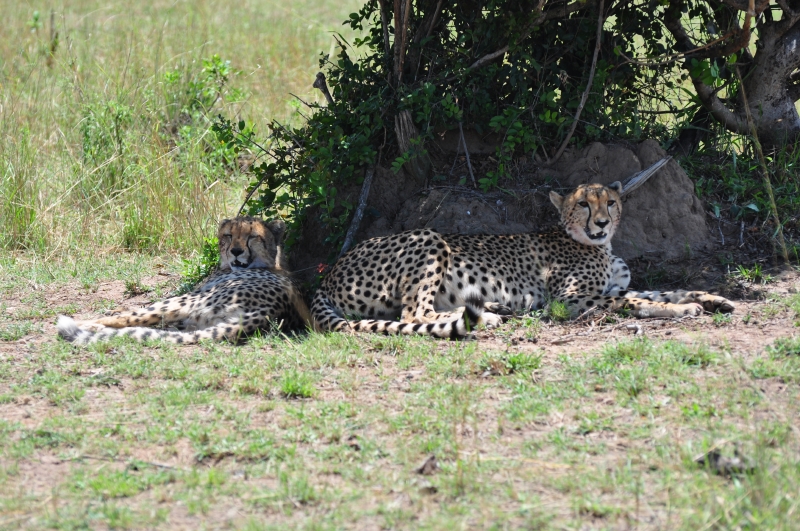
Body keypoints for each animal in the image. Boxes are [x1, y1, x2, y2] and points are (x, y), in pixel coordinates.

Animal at [57, 217, 311, 345]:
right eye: (229, 235)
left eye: (252, 237)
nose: (236, 251)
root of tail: (268, 313)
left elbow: (135, 311)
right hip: (195, 320)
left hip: (190, 301)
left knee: (138, 317)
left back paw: (88, 323)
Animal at [310, 182, 734, 338]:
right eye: (583, 204)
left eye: (610, 202)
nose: (601, 222)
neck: (599, 245)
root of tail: (328, 273)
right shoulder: (568, 300)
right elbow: (632, 302)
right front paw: (685, 310)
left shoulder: (614, 284)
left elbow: (662, 291)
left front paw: (712, 298)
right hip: (428, 238)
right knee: (413, 314)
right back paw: (490, 317)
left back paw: (494, 308)